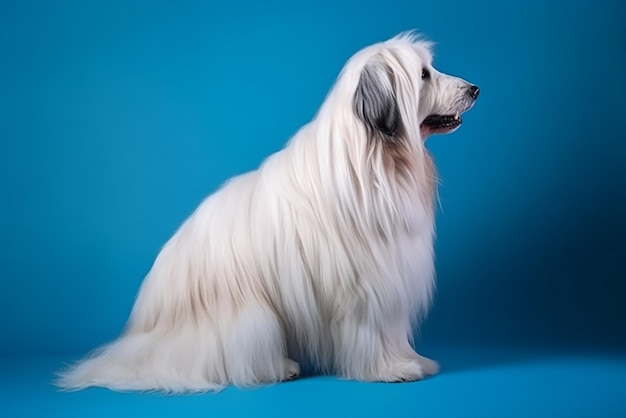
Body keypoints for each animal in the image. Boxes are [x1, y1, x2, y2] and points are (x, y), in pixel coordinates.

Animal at [57, 31, 478, 392]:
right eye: (423, 74)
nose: (474, 88)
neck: (376, 155)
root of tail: (144, 338)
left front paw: (412, 360)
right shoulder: (369, 285)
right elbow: (373, 332)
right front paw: (390, 369)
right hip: (253, 320)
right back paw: (281, 368)